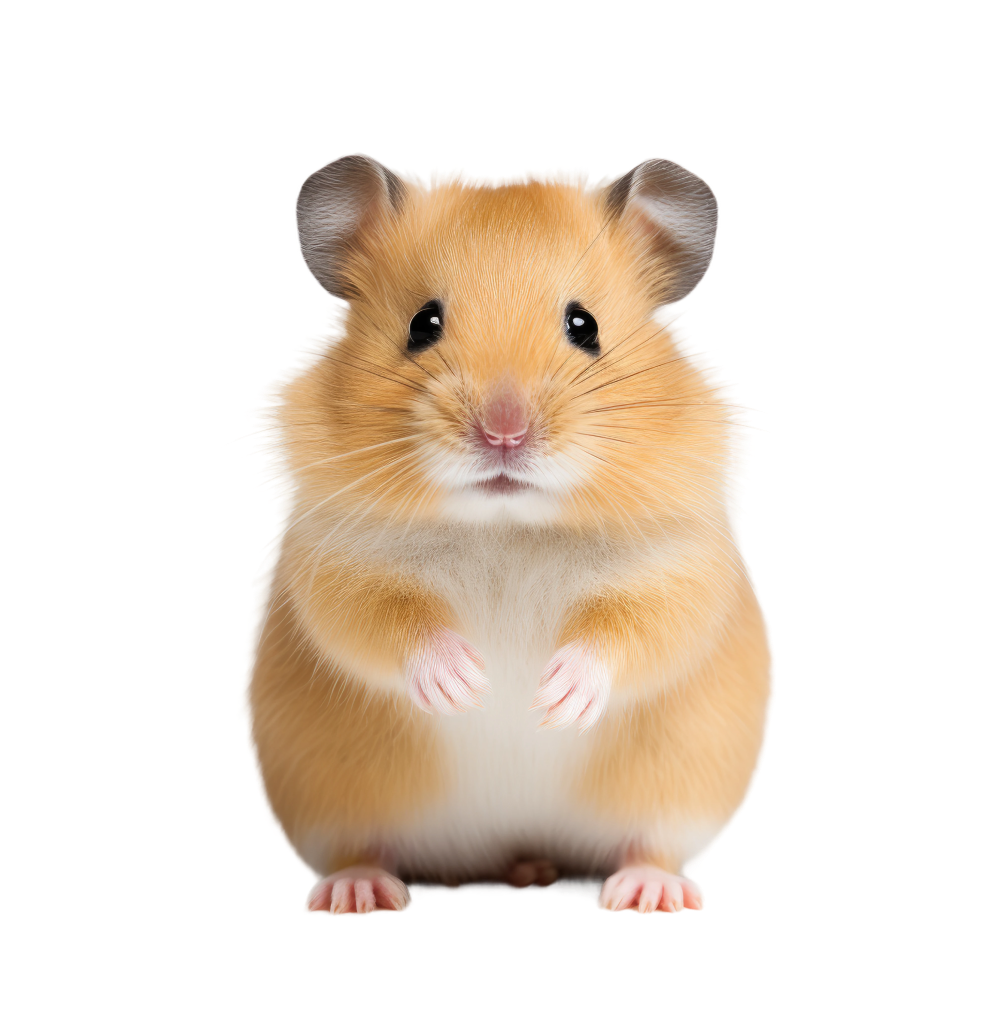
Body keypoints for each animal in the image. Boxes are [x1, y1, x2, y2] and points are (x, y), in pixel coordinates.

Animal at [239, 153, 775, 917]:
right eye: (422, 324)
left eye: (585, 326)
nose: (503, 432)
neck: (507, 528)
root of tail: (510, 858)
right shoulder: (335, 563)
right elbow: (384, 622)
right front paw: (469, 684)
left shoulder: (678, 567)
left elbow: (634, 631)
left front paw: (552, 698)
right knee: (358, 851)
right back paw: (358, 892)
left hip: (678, 794)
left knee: (649, 846)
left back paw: (649, 892)